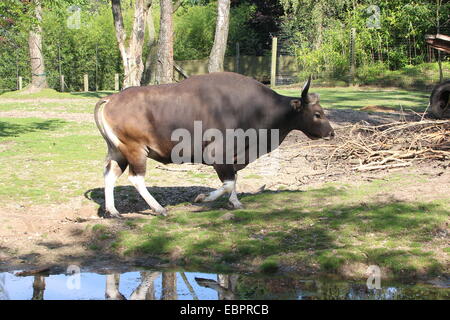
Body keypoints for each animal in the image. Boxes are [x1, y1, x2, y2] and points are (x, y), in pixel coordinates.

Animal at [95, 72, 334, 218]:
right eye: (317, 114)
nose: (331, 133)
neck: (257, 109)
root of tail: (111, 99)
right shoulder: (217, 154)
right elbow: (228, 182)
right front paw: (202, 199)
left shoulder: (234, 157)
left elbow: (234, 179)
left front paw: (235, 203)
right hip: (135, 150)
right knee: (136, 179)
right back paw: (159, 208)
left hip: (118, 151)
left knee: (109, 175)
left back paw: (113, 211)